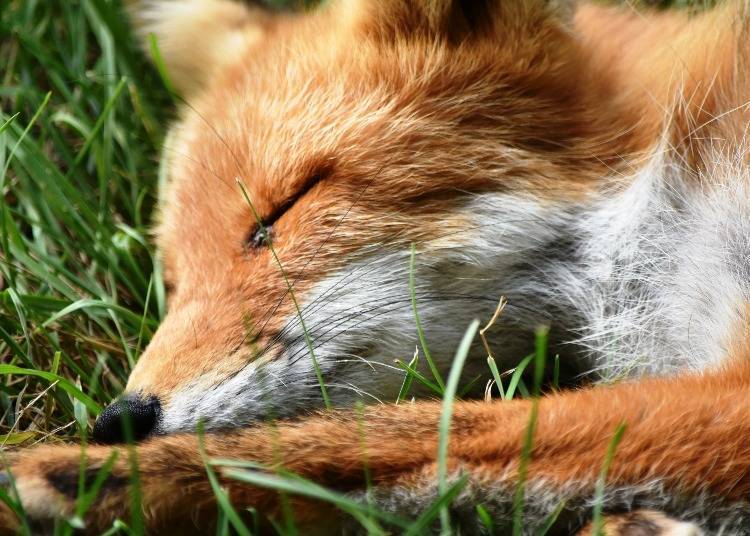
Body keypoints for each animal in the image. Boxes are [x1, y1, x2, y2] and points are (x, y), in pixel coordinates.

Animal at [1, 0, 750, 532]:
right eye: (179, 280)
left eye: (281, 211)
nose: (120, 419)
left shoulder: (731, 391)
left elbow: (400, 434)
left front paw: (78, 474)